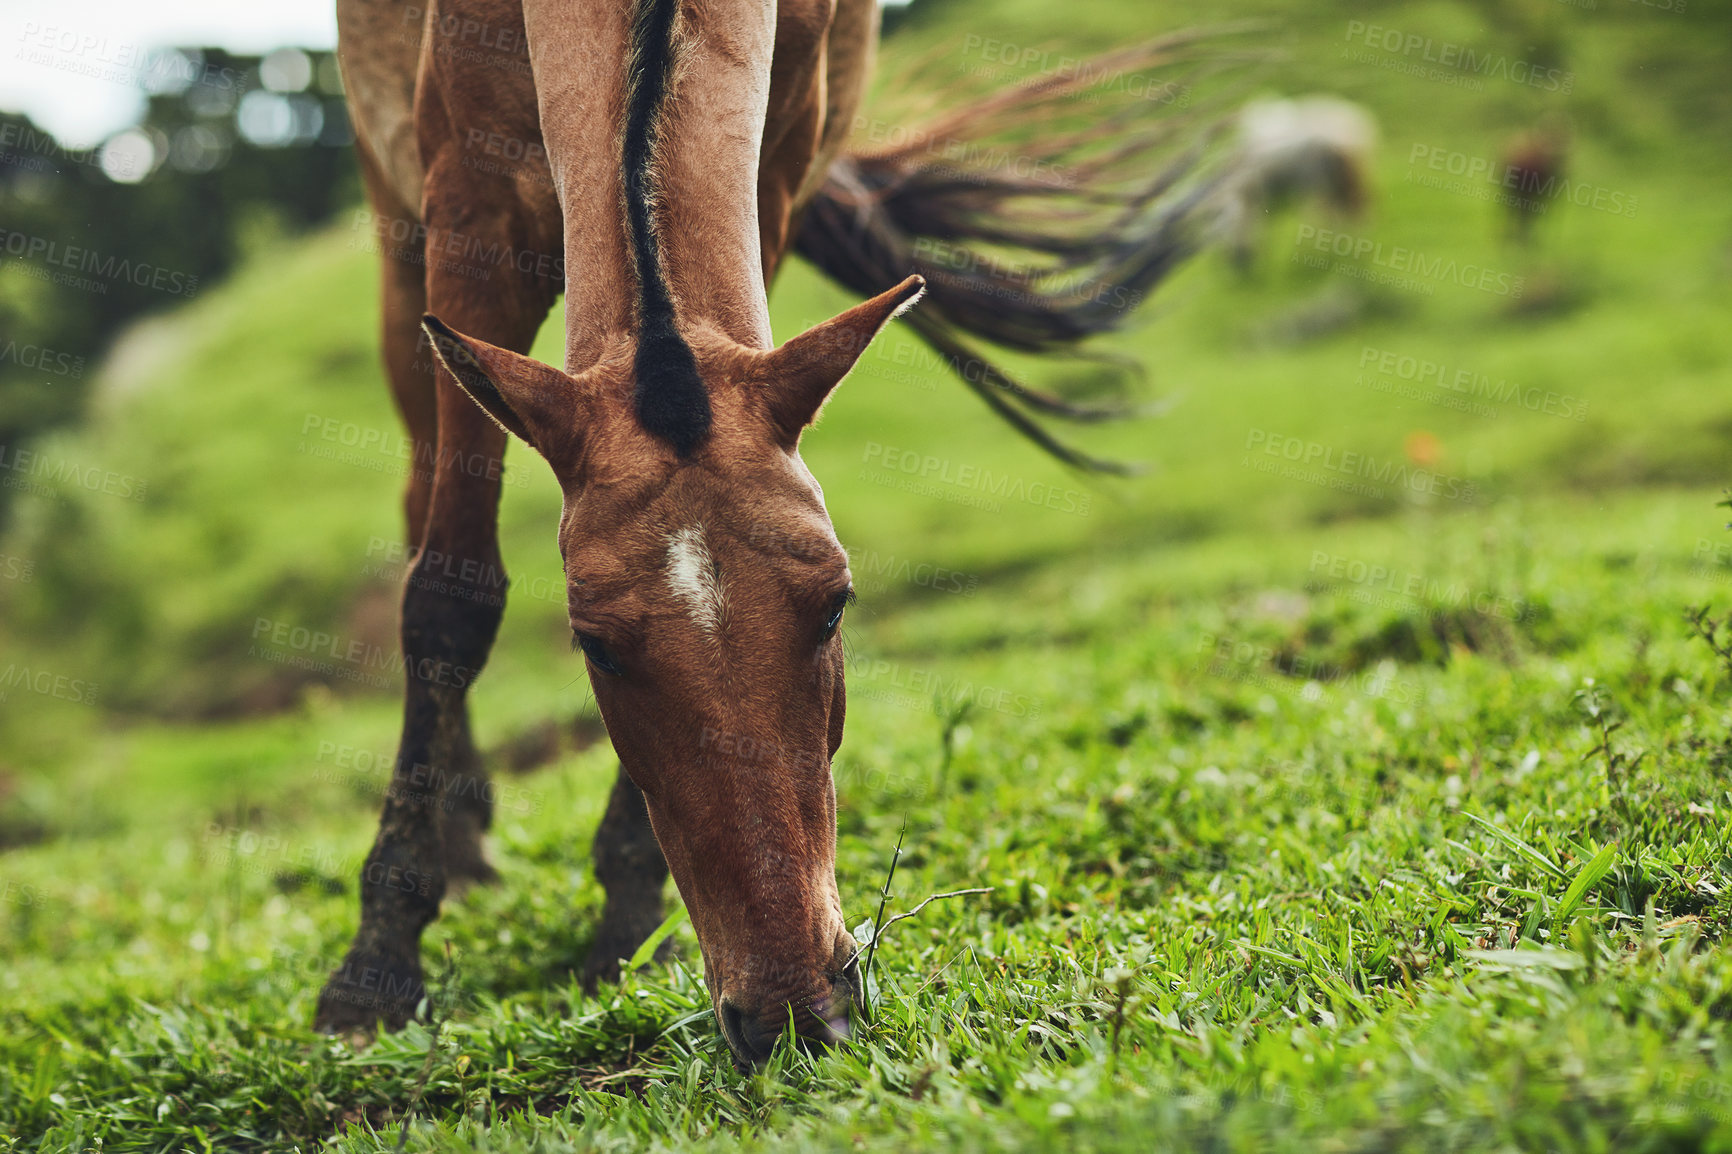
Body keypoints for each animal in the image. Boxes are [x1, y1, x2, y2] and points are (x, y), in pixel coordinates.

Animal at [318, 0, 1226, 1067]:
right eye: (595, 647)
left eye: (835, 606)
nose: (795, 1006)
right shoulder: (467, 206)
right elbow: (452, 594)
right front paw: (377, 959)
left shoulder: (777, 175)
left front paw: (630, 920)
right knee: (421, 507)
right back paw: (459, 842)